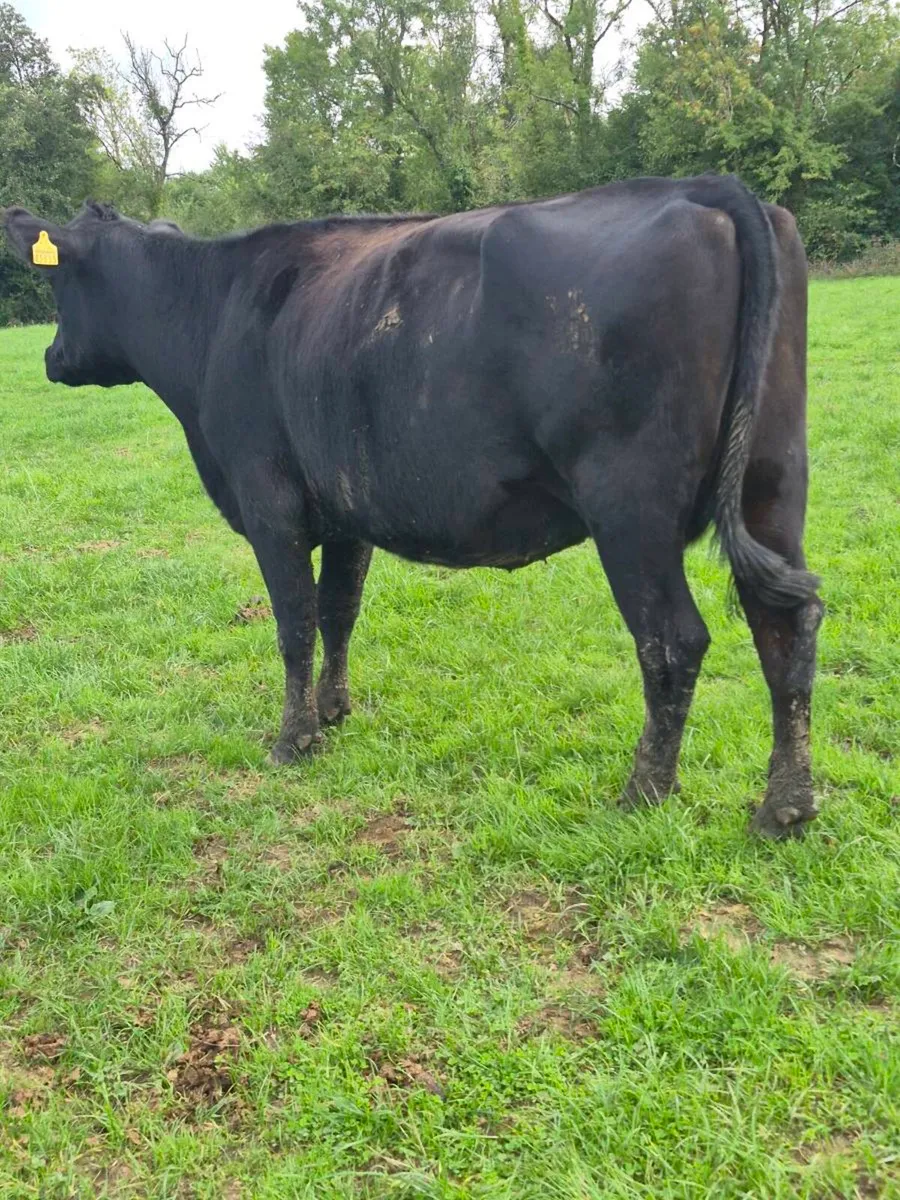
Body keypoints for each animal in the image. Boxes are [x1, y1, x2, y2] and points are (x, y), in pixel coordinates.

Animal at [3, 174, 823, 838]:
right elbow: (339, 611)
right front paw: (334, 712)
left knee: (673, 641)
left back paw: (645, 791)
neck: (212, 317)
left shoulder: (269, 505)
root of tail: (699, 188)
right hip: (773, 477)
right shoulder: (346, 507)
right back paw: (785, 806)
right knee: (785, 625)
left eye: (57, 287)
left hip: (630, 507)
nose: (48, 358)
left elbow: (295, 625)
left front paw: (293, 739)